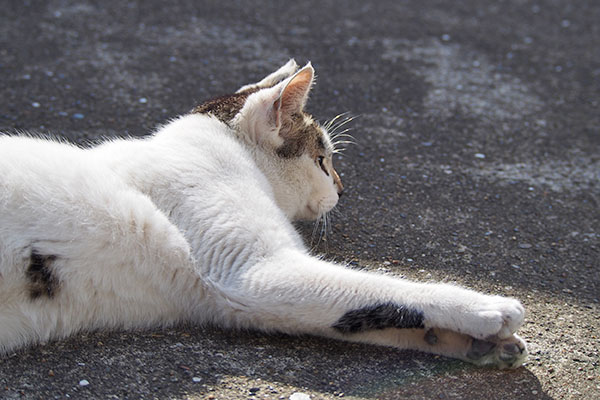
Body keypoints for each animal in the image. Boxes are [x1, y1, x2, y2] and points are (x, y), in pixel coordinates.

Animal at [0, 60, 524, 368]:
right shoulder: (254, 271)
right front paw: (484, 308)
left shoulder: (240, 300)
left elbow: (366, 311)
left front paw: (480, 345)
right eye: (323, 159)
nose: (342, 188)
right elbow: (387, 288)